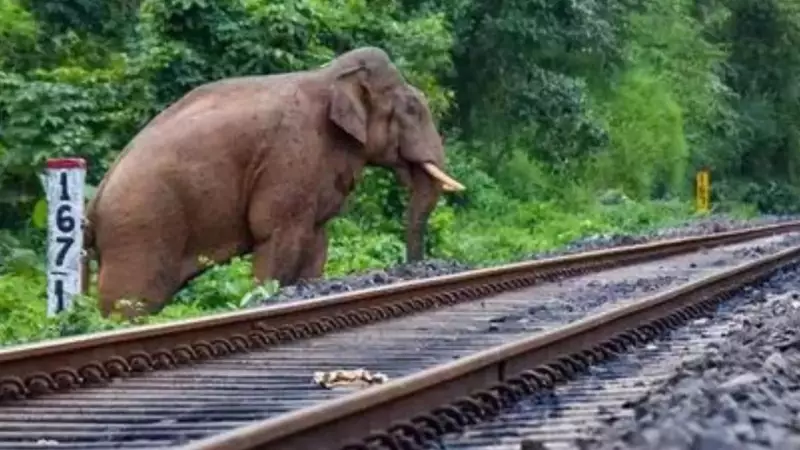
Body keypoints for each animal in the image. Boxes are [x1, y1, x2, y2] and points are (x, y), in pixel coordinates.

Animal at [82, 46, 466, 318]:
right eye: (413, 109)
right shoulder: (289, 157)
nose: (417, 267)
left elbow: (316, 239)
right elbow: (277, 234)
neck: (330, 75)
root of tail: (94, 203)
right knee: (131, 303)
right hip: (140, 231)